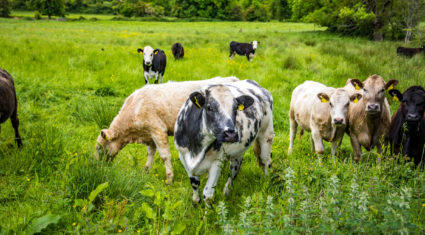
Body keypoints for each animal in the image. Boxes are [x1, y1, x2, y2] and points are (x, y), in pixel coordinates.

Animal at [93, 76, 238, 183]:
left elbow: (164, 156)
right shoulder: (149, 134)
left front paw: (169, 178)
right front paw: (146, 171)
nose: (96, 166)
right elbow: (150, 153)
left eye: (99, 148)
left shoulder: (157, 130)